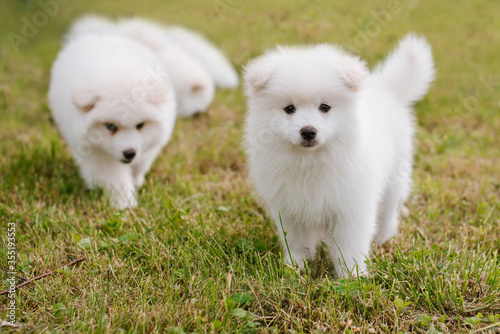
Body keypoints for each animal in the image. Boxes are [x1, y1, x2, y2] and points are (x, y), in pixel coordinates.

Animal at [48, 34, 177, 211]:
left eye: (140, 125)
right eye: (110, 126)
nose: (129, 153)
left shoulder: (149, 146)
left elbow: (141, 163)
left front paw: (136, 181)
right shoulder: (99, 155)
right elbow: (115, 180)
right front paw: (125, 204)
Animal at [244, 33, 436, 276]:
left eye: (325, 107)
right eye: (289, 109)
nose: (308, 131)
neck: (312, 161)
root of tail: (386, 88)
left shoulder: (352, 207)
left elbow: (350, 245)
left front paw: (352, 275)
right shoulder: (290, 208)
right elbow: (296, 241)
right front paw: (295, 266)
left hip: (396, 176)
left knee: (390, 208)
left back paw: (384, 237)